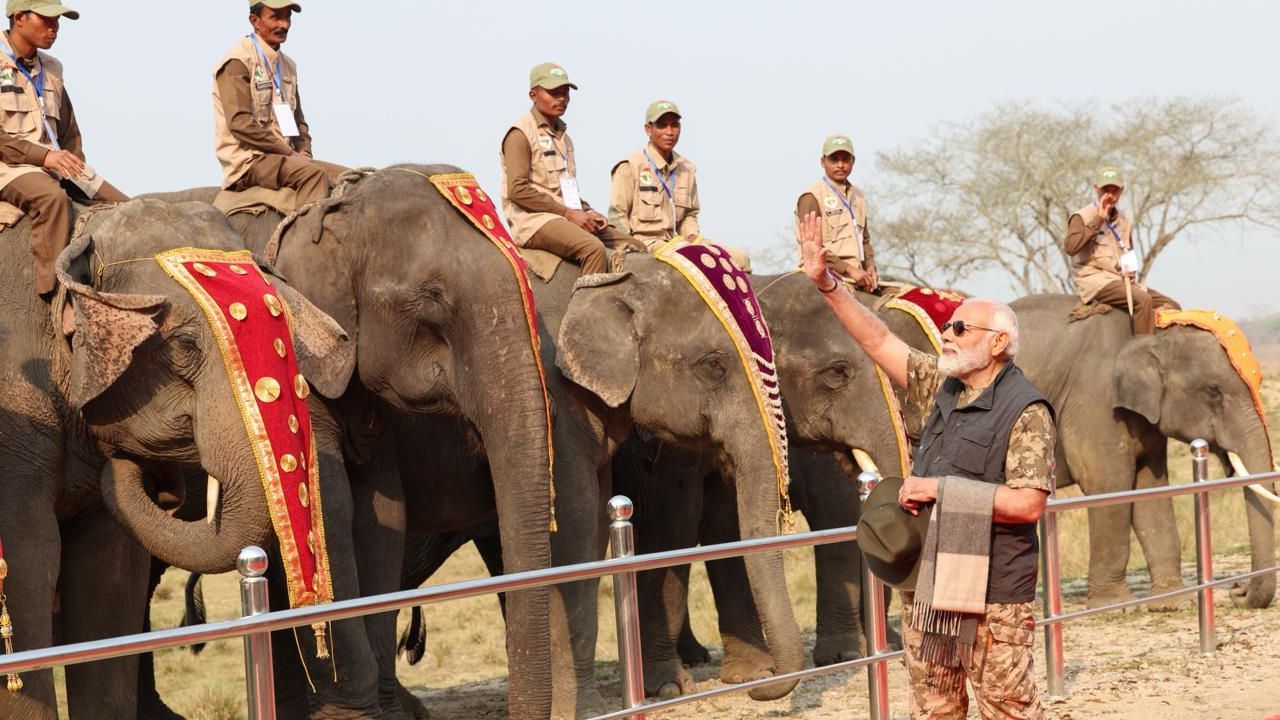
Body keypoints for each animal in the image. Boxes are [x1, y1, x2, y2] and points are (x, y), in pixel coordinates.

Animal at [144, 163, 555, 717]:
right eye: (433, 297)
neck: (331, 206)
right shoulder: (292, 362)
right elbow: (330, 504)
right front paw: (347, 706)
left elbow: (383, 515)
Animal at [1013, 294, 1274, 607]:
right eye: (1213, 390)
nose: (1237, 590)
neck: (1156, 333)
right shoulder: (1097, 402)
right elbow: (1107, 484)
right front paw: (1114, 606)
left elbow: (1150, 489)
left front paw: (1175, 602)